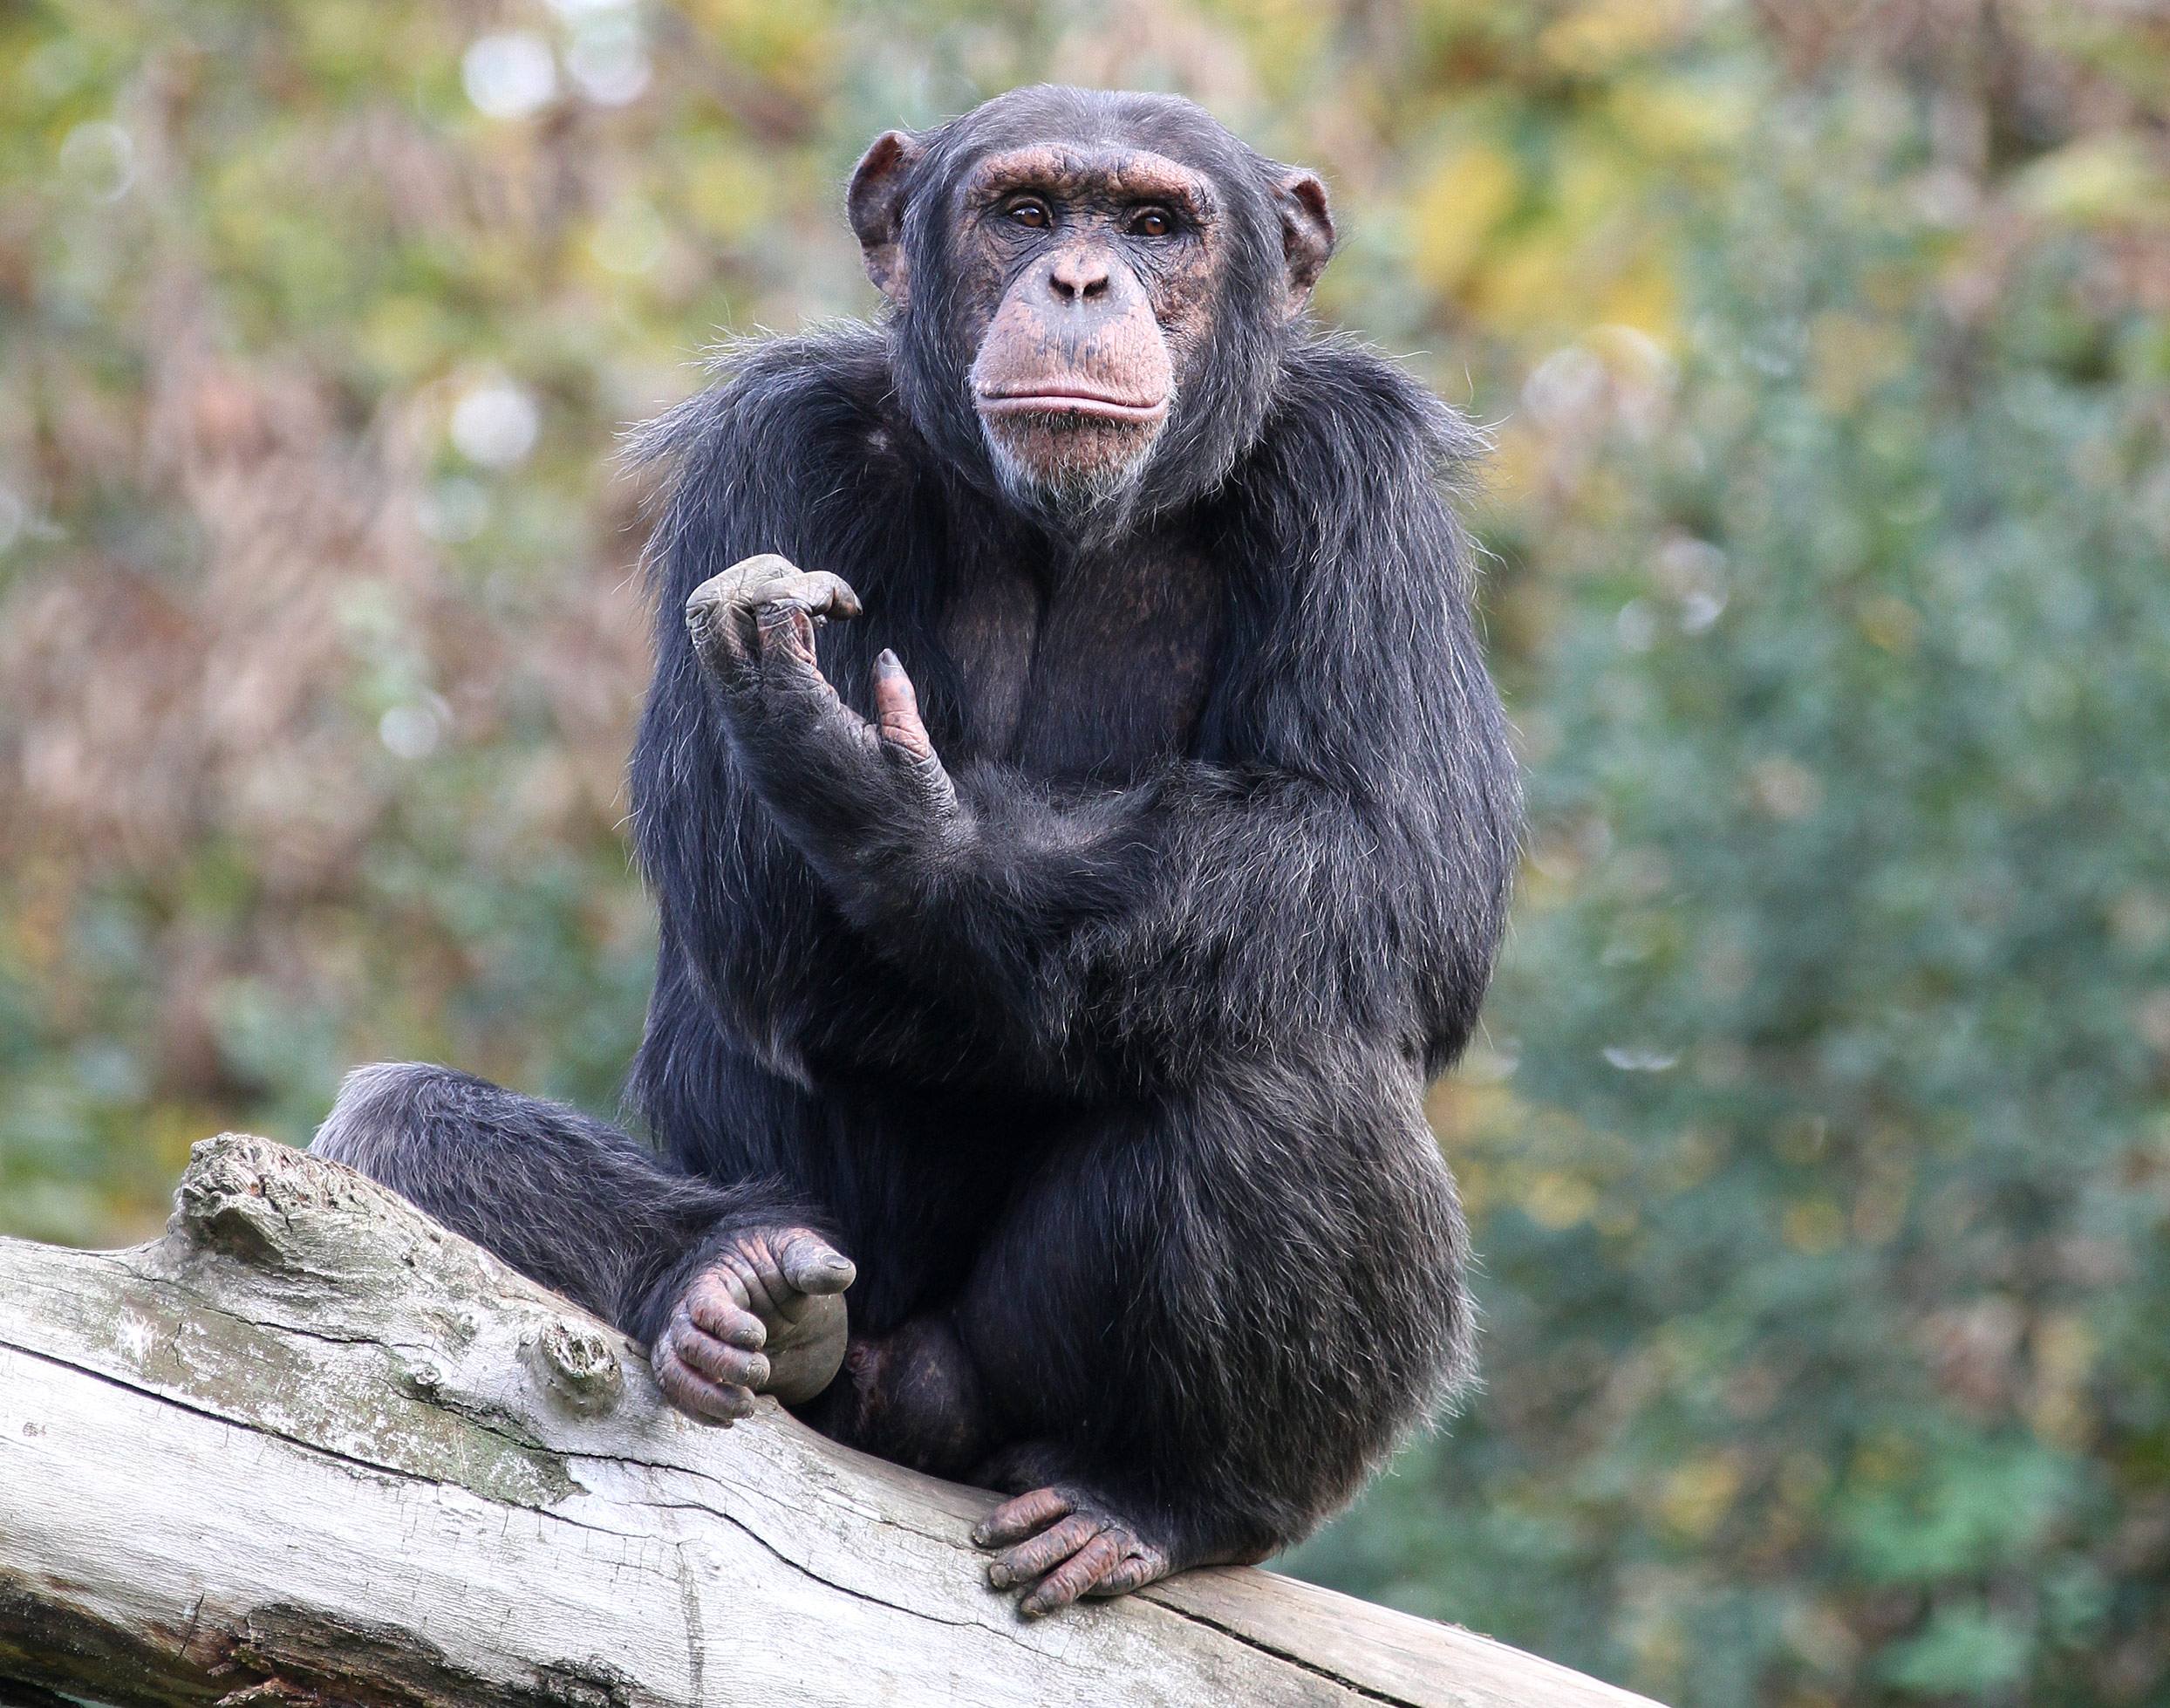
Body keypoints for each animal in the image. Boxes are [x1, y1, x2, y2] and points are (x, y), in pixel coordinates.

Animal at [314, 90, 1518, 1615]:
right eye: (1024, 211)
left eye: (1156, 223)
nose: (1080, 279)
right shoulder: (771, 442)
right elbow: (744, 892)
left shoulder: (1360, 476)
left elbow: (1396, 852)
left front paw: (884, 800)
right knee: (387, 1125)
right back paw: (728, 1271)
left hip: (1005, 1383)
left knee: (1292, 1069)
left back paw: (1159, 1495)